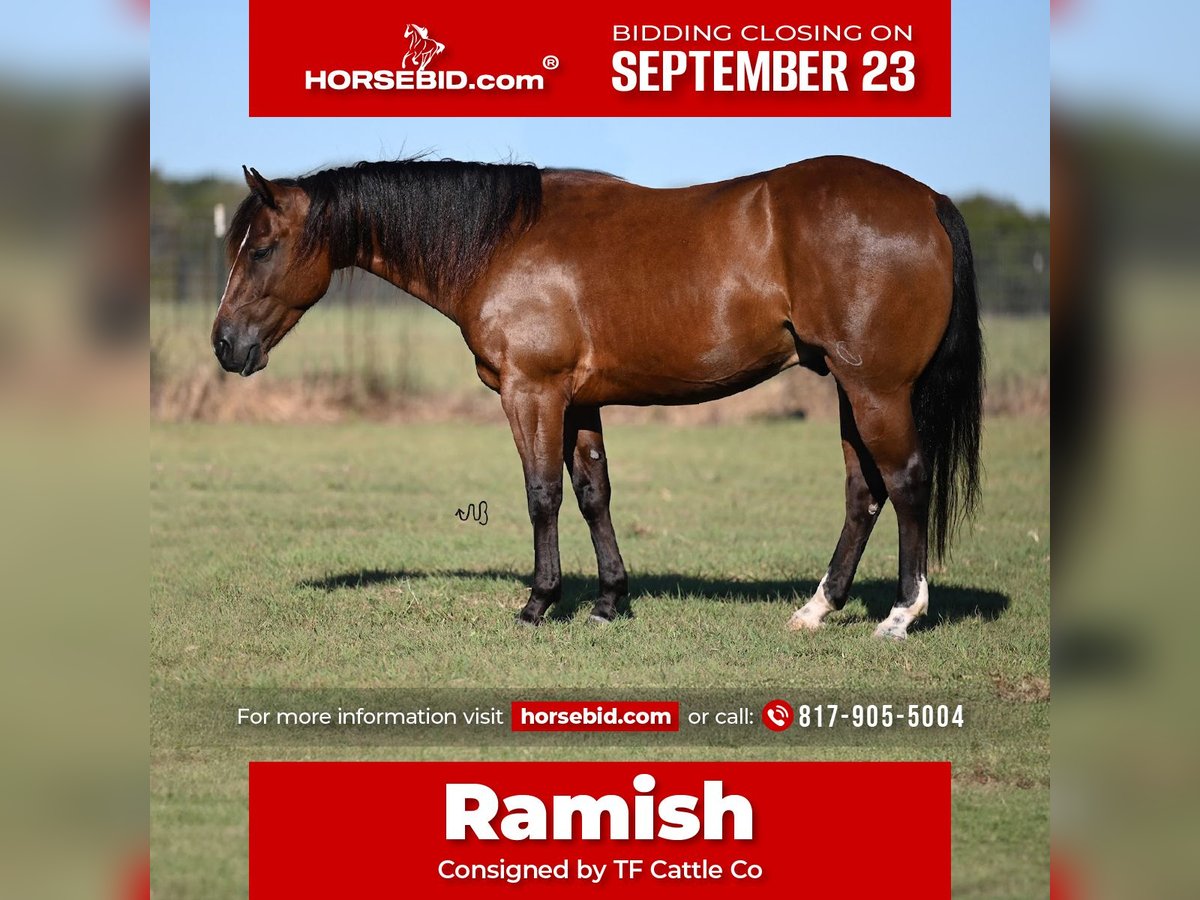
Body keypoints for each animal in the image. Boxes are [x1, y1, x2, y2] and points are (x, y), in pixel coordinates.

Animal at [213, 160, 984, 643]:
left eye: (262, 248)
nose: (224, 344)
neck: (501, 242)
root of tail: (928, 201)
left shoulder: (532, 391)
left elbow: (542, 496)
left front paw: (538, 603)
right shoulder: (578, 401)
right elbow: (592, 493)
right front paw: (611, 601)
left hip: (876, 389)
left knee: (906, 482)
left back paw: (901, 615)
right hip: (851, 390)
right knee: (864, 492)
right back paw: (816, 610)